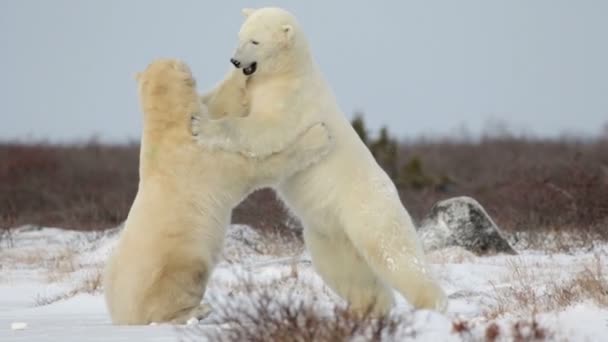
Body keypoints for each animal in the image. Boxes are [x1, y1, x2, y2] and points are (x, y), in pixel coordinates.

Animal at [104, 59, 332, 326]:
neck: (167, 129)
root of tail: (124, 315)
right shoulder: (203, 159)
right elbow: (256, 165)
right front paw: (319, 135)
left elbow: (218, 107)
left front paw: (240, 73)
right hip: (178, 259)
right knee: (180, 286)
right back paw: (199, 311)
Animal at [192, 6, 448, 314]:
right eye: (239, 36)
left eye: (254, 41)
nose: (234, 60)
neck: (290, 72)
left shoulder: (293, 102)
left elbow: (264, 130)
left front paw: (202, 126)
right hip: (327, 233)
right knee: (344, 269)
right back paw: (369, 307)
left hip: (370, 212)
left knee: (394, 253)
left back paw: (431, 304)